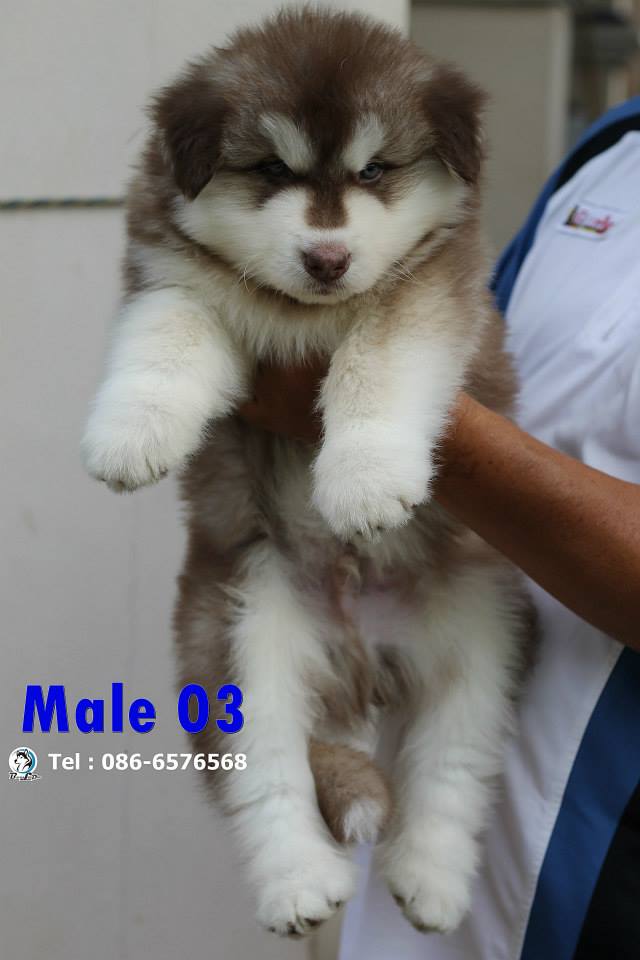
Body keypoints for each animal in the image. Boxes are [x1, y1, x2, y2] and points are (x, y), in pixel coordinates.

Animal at [82, 7, 530, 939]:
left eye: (375, 170)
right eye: (271, 171)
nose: (327, 258)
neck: (303, 309)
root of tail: (361, 656)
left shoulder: (426, 295)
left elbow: (375, 364)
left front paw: (363, 480)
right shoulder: (171, 274)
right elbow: (166, 337)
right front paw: (131, 435)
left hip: (484, 633)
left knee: (453, 762)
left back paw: (429, 877)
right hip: (237, 631)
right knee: (268, 775)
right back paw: (298, 881)